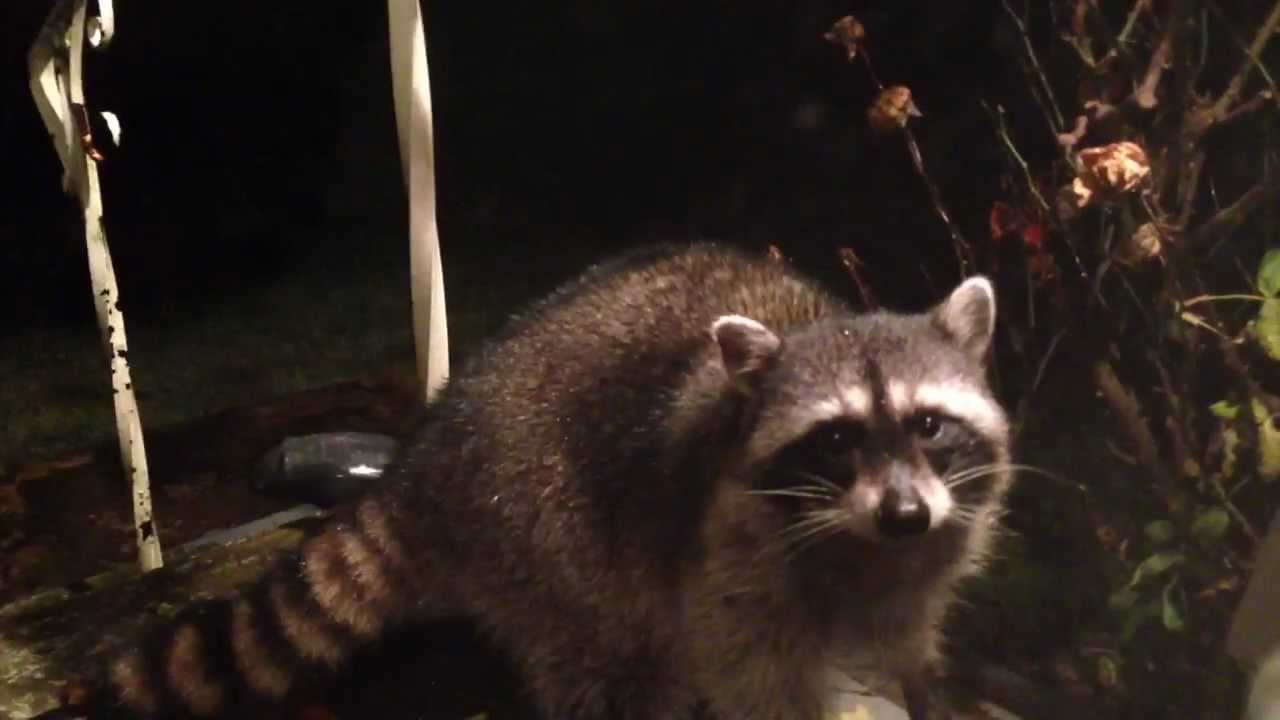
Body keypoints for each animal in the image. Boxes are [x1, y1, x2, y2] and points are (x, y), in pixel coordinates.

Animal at [82, 242, 1012, 720]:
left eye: (929, 425)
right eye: (839, 438)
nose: (903, 513)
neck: (859, 544)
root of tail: (433, 454)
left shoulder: (927, 555)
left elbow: (904, 642)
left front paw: (918, 687)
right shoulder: (728, 561)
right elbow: (756, 677)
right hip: (547, 532)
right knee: (618, 670)